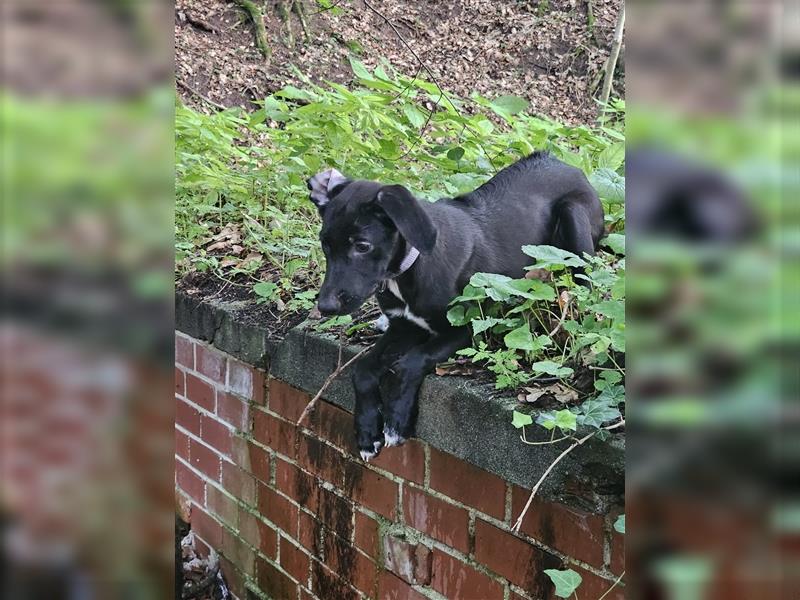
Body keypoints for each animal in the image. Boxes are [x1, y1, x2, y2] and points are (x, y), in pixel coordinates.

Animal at [310, 154, 604, 460]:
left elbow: (411, 362)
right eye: (325, 245)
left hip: (573, 216)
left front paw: (396, 423)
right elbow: (362, 369)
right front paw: (368, 433)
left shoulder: (464, 328)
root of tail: (564, 163)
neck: (407, 271)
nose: (325, 307)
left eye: (363, 246)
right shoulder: (405, 326)